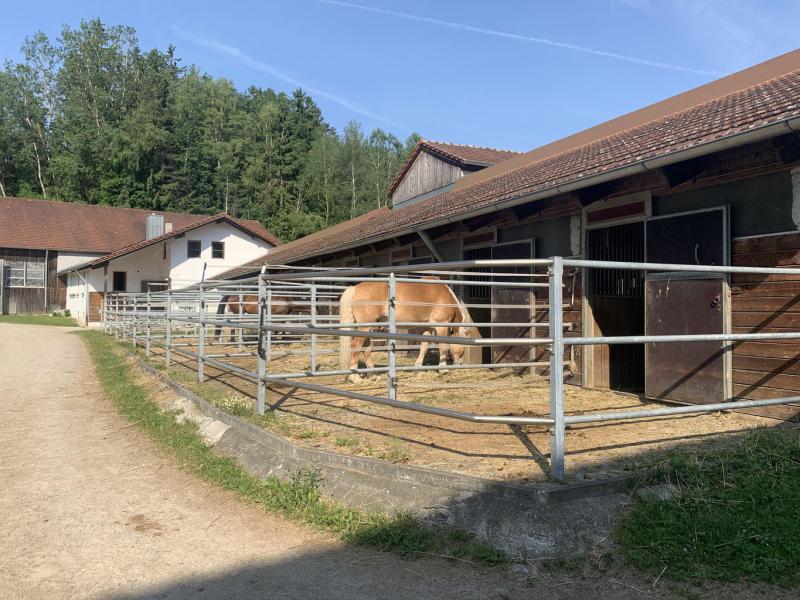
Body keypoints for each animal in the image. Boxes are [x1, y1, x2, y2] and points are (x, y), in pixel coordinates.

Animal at [340, 278, 476, 382]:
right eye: (463, 350)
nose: (459, 364)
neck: (444, 295)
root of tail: (355, 288)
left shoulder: (426, 328)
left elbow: (423, 348)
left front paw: (418, 369)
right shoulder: (441, 326)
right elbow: (442, 348)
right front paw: (444, 370)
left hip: (367, 327)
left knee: (366, 349)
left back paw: (373, 374)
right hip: (365, 327)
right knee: (356, 346)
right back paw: (355, 377)